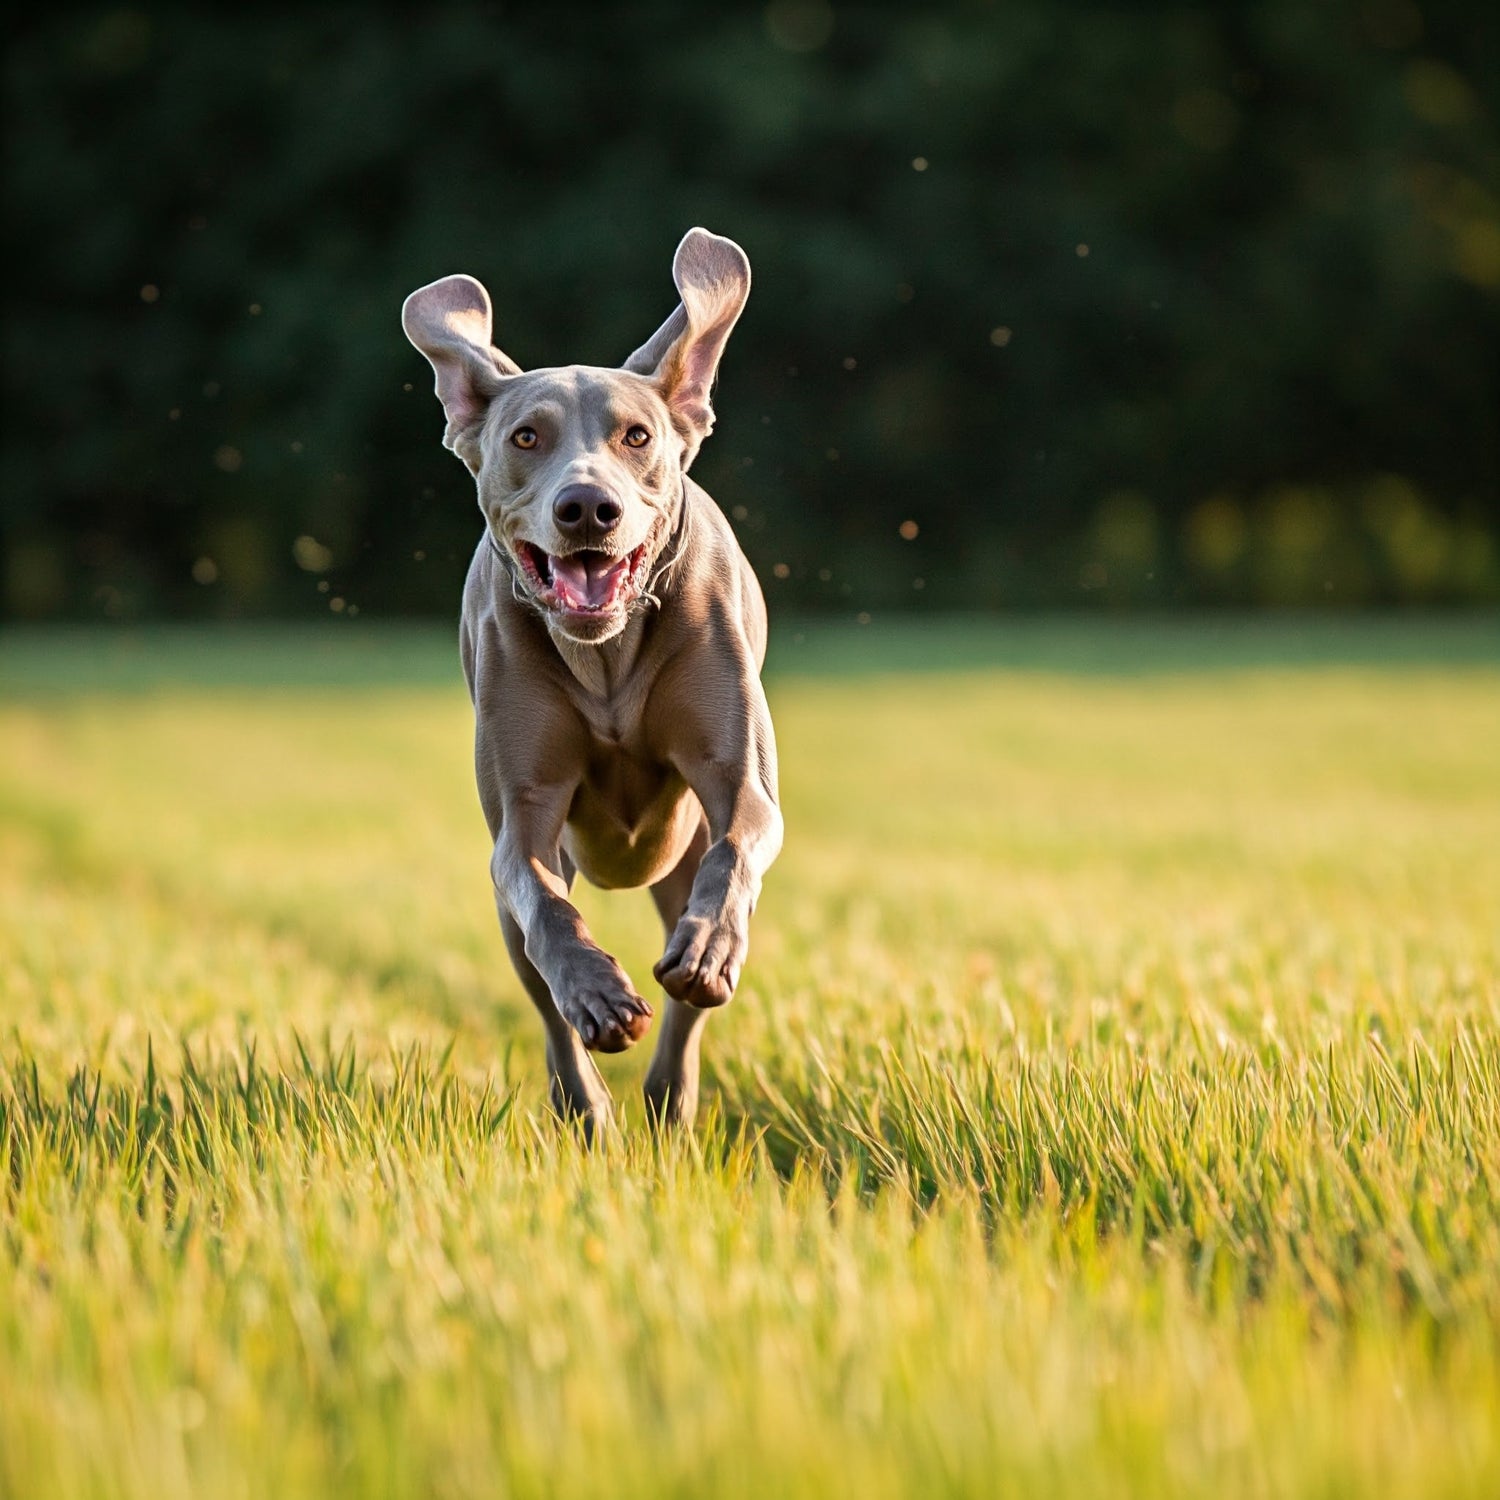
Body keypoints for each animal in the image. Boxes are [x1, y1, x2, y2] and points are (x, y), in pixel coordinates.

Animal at [405, 228, 792, 1128]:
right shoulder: (522, 820)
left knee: (689, 976)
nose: (587, 508)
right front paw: (598, 994)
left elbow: (739, 846)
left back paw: (670, 1092)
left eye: (637, 437)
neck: (606, 656)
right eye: (525, 438)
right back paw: (586, 1106)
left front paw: (710, 947)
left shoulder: (739, 785)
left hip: (678, 856)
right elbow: (547, 906)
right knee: (539, 979)